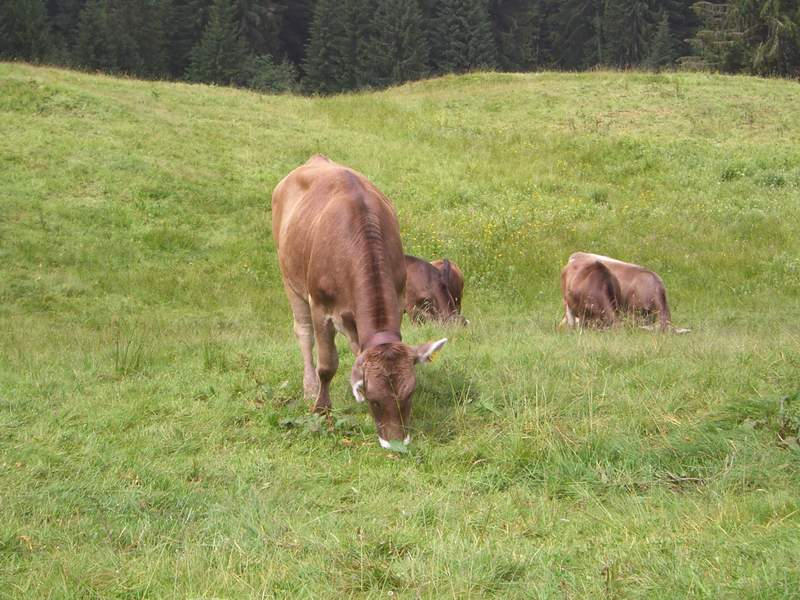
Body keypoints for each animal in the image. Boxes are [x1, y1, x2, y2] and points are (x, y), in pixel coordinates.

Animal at [272, 155, 447, 449]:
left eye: (410, 393)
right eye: (375, 400)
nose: (396, 444)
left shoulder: (398, 296)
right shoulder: (321, 308)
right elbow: (327, 365)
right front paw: (321, 409)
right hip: (290, 280)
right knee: (304, 334)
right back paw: (309, 387)